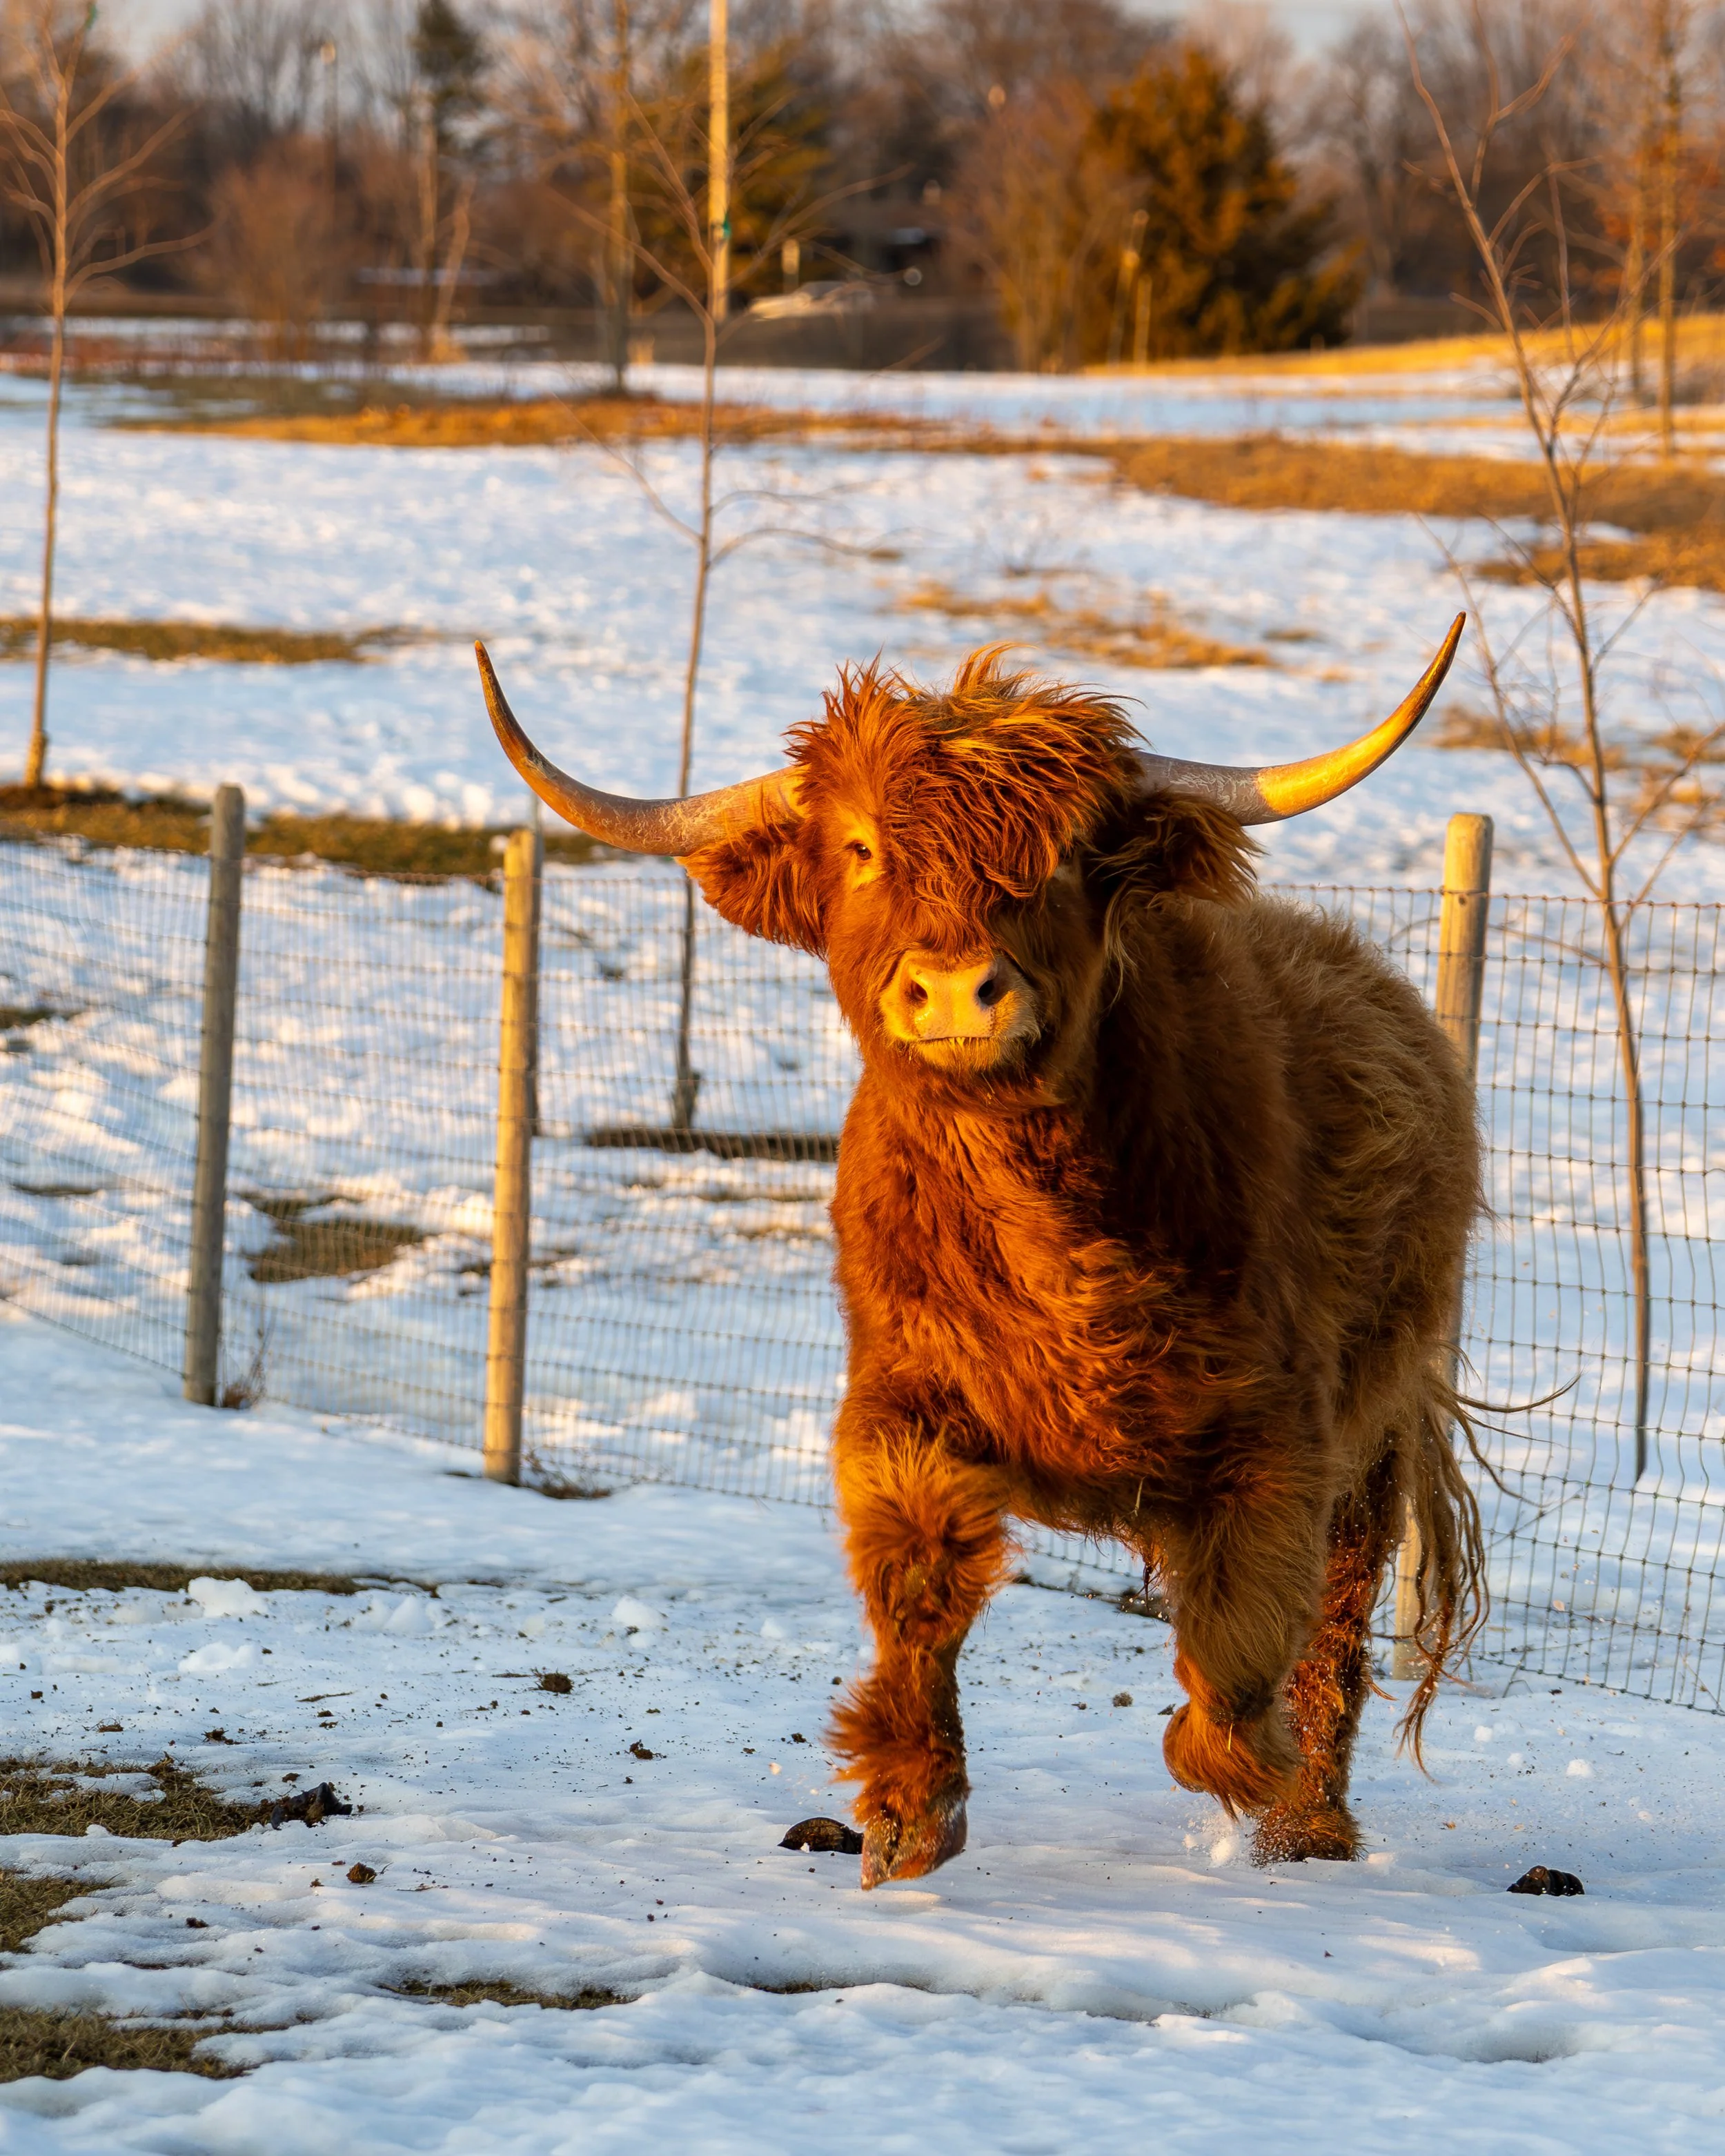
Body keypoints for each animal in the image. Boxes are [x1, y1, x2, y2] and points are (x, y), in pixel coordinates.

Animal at [475, 619, 1487, 1887]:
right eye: (861, 847)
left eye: (1065, 858)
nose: (957, 988)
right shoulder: (904, 1390)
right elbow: (921, 1575)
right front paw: (912, 1808)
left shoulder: (1275, 1426)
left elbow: (1245, 1619)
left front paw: (1240, 1763)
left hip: (1383, 1418)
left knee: (1342, 1616)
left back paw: (1309, 1830)